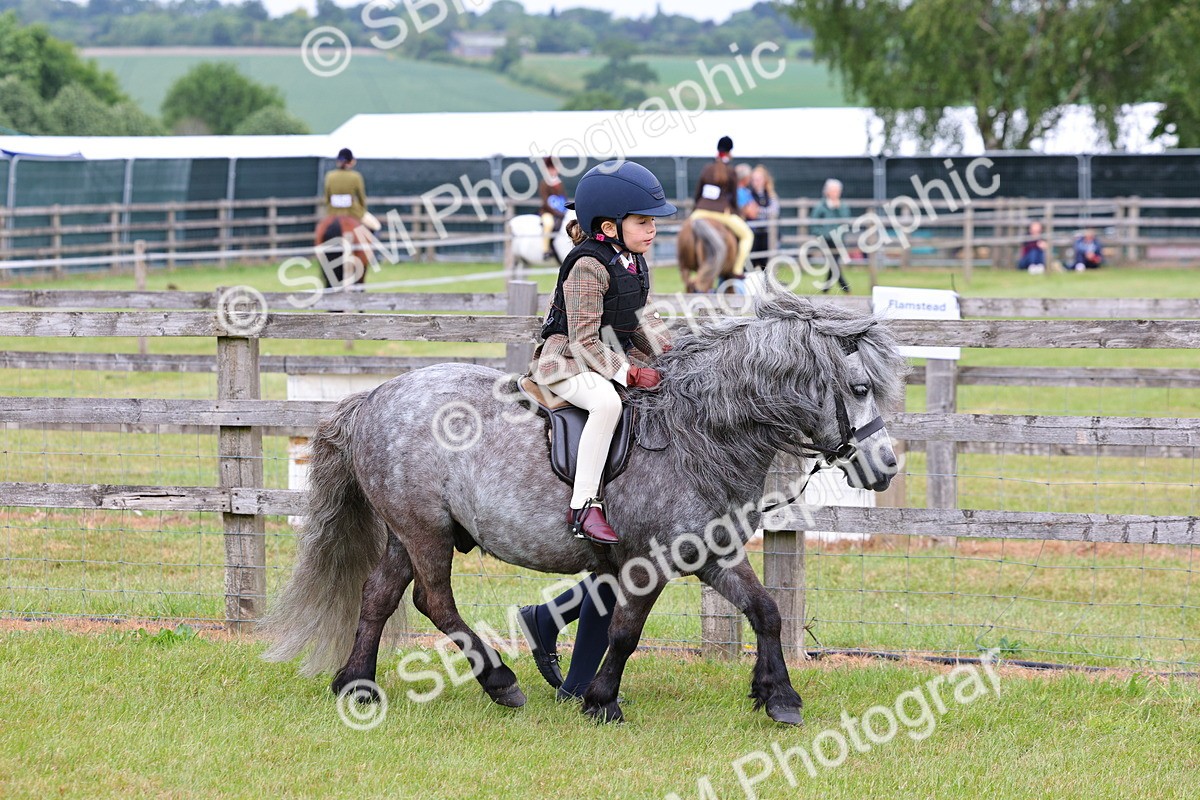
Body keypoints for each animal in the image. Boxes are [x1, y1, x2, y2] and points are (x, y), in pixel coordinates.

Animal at [261, 286, 908, 725]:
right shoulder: (648, 563)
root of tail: (375, 395)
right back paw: (500, 681)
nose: (885, 468)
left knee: (379, 597)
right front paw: (601, 701)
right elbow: (624, 632)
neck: (696, 431)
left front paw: (780, 697)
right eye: (858, 388)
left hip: (410, 529)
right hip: (426, 532)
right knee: (434, 601)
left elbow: (767, 611)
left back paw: (356, 685)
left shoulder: (711, 554)